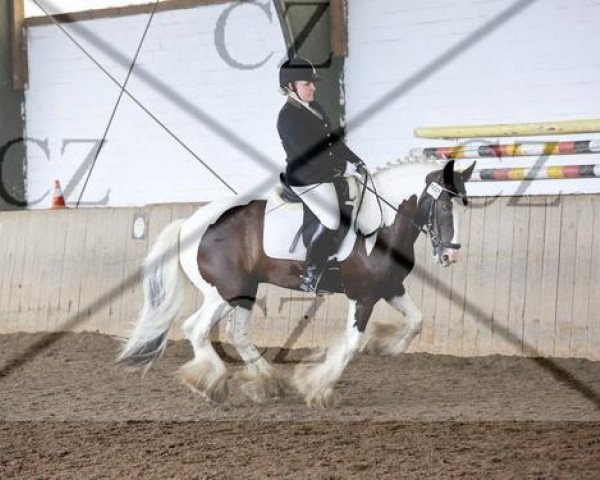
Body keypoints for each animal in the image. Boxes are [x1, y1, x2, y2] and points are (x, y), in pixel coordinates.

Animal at [116, 157, 474, 404]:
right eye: (444, 206)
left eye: (464, 206)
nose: (450, 256)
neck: (380, 223)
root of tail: (190, 223)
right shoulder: (363, 295)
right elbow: (351, 345)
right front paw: (318, 385)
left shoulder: (389, 288)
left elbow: (417, 321)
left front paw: (384, 346)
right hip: (224, 292)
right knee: (197, 328)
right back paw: (213, 384)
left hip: (245, 290)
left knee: (238, 333)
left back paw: (269, 382)